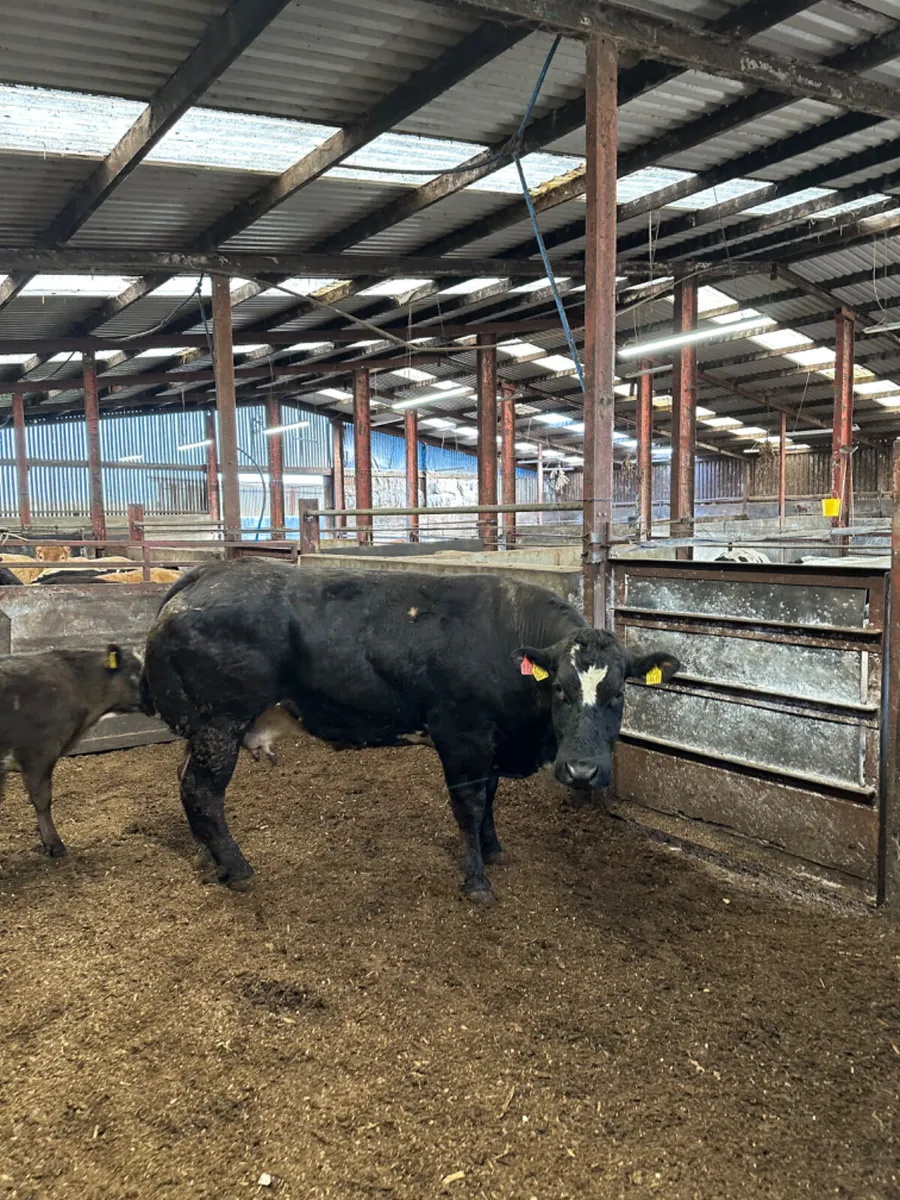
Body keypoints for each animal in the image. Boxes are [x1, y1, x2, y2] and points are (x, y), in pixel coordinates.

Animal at [141, 560, 679, 903]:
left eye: (619, 694)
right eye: (561, 691)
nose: (583, 771)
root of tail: (210, 571)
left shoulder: (490, 742)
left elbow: (489, 798)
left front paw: (493, 851)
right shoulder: (461, 736)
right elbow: (470, 805)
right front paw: (476, 881)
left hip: (206, 730)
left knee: (187, 785)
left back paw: (210, 857)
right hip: (219, 723)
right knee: (203, 792)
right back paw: (237, 868)